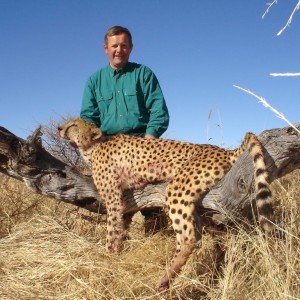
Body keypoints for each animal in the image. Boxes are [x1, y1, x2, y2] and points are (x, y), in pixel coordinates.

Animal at [56, 118, 274, 292]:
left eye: (73, 125)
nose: (59, 128)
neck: (92, 147)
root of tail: (223, 150)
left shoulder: (113, 199)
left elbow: (111, 230)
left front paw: (106, 256)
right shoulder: (124, 202)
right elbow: (121, 228)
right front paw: (117, 252)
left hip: (178, 189)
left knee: (189, 238)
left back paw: (165, 278)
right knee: (203, 235)